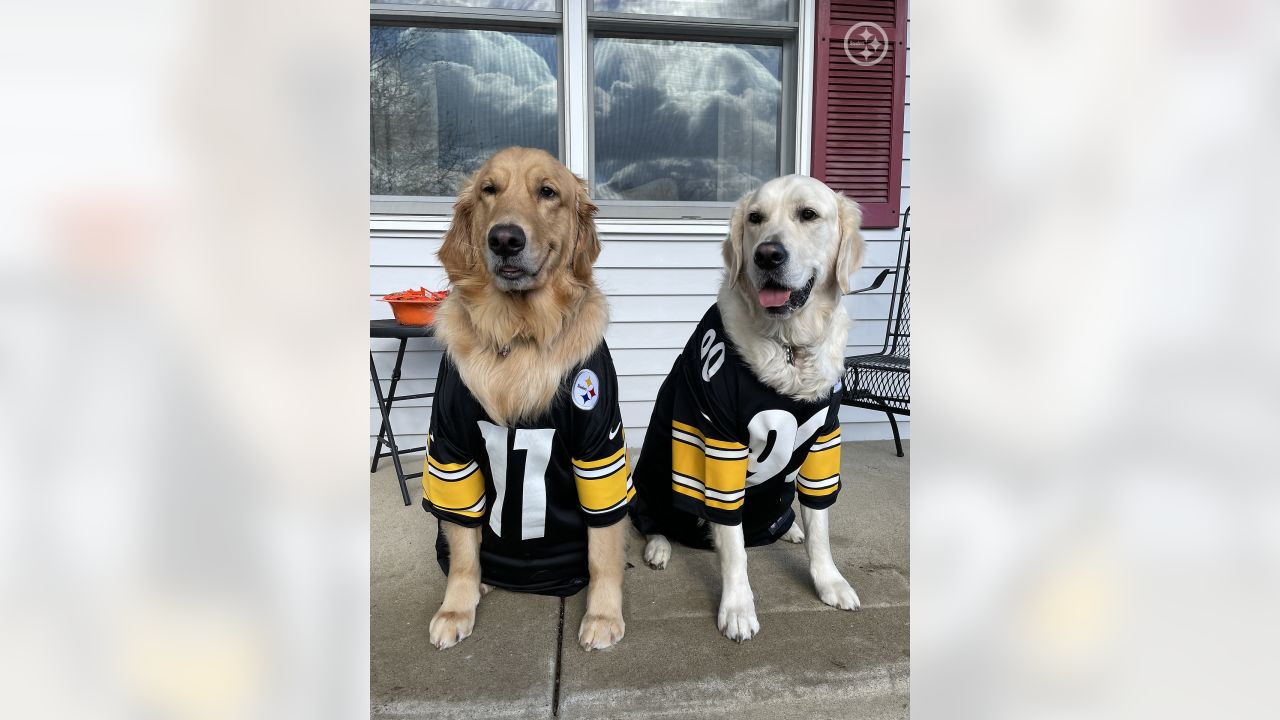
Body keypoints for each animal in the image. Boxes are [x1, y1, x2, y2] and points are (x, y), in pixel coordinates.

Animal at [427, 147, 627, 650]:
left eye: (547, 192)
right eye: (489, 190)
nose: (504, 239)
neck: (518, 334)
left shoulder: (598, 448)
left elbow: (603, 550)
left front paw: (602, 615)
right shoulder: (451, 452)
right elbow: (464, 552)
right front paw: (456, 607)